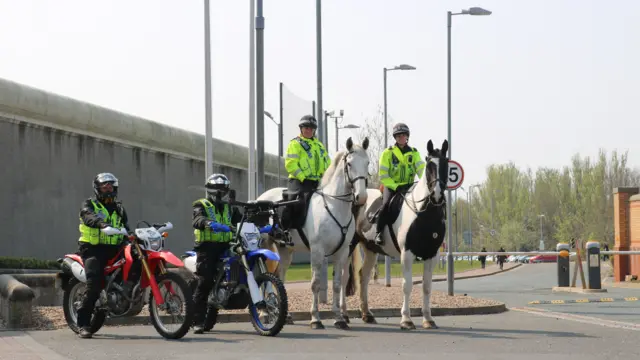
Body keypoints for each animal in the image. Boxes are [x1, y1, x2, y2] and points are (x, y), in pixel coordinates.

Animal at [256, 137, 370, 330]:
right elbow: (315, 284)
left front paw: (339, 318)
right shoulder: (317, 250)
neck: (333, 206)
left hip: (285, 251)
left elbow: (337, 284)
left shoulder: (342, 252)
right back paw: (264, 313)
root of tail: (260, 197)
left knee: (280, 275)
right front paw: (315, 318)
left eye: (367, 163)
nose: (361, 197)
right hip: (265, 245)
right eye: (349, 164)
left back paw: (286, 315)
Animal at [350, 139, 450, 330]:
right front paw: (406, 320)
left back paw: (367, 314)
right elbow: (407, 285)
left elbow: (427, 287)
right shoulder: (407, 254)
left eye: (446, 164)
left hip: (370, 250)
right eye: (429, 165)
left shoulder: (432, 256)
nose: (437, 195)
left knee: (363, 276)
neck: (423, 214)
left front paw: (428, 319)